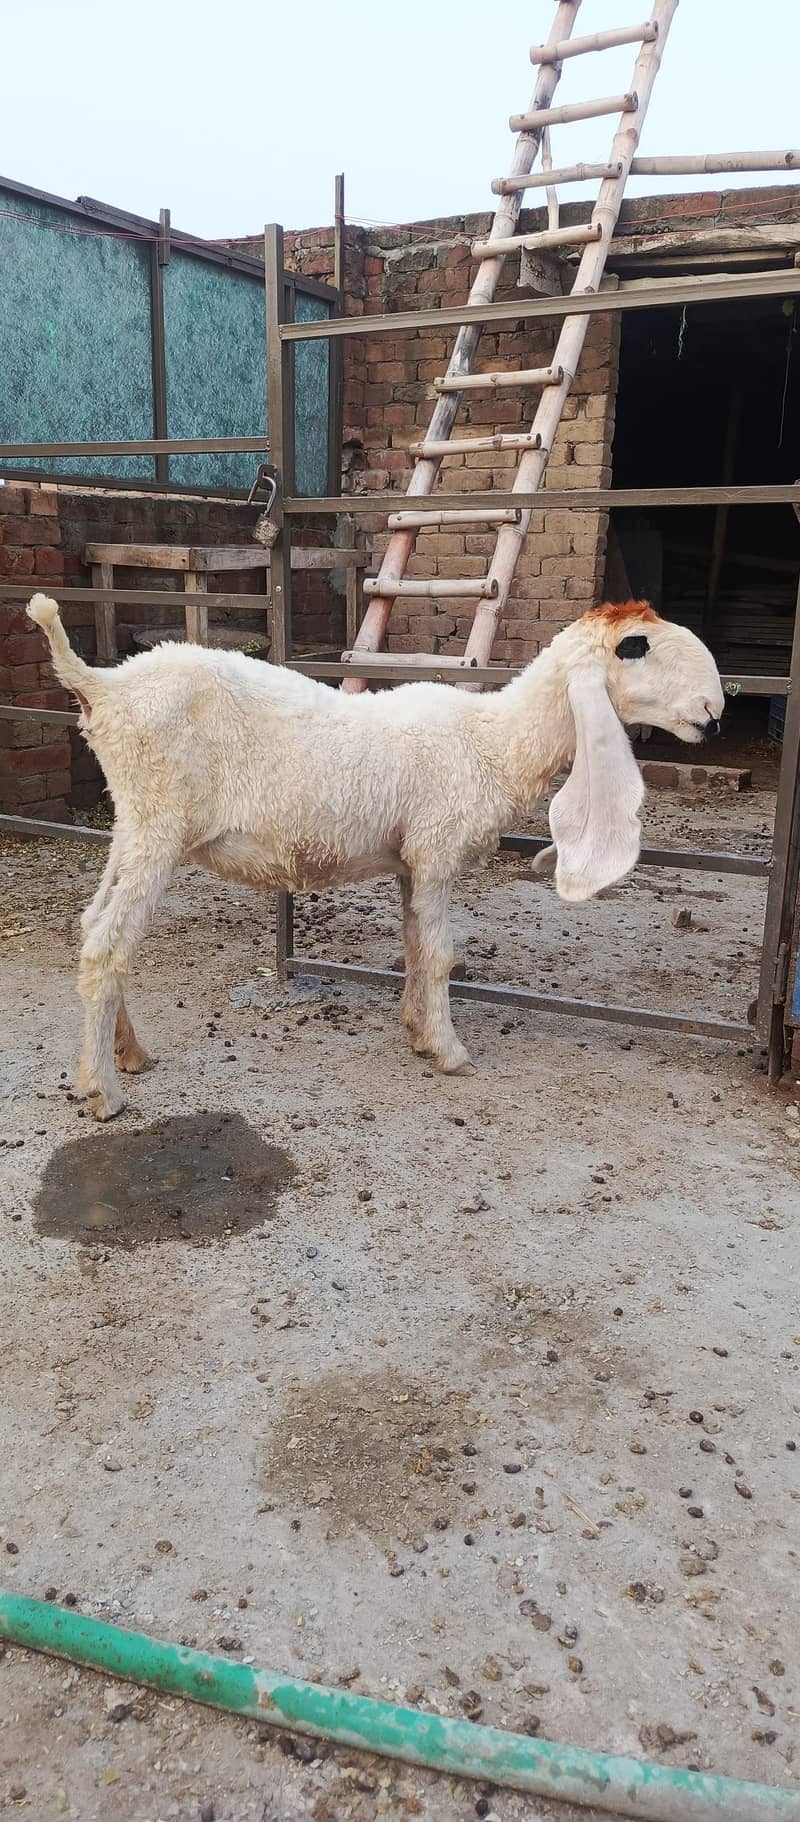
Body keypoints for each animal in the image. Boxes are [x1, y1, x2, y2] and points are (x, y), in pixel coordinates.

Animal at [26, 592, 723, 1119]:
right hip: (159, 824)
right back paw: (103, 1090)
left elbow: (414, 946)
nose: (714, 711)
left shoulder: (412, 861)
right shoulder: (438, 848)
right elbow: (440, 954)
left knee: (93, 928)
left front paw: (417, 1033)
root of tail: (102, 687)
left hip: (132, 824)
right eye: (637, 646)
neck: (493, 742)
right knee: (108, 945)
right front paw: (450, 1052)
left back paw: (125, 1054)